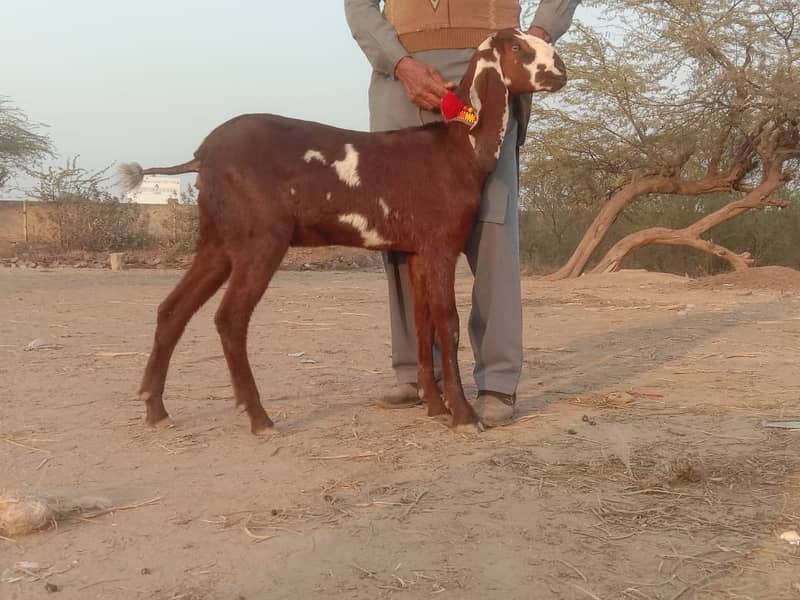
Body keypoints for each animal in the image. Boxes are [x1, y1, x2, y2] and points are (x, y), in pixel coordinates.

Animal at [122, 29, 564, 436]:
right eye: (519, 49)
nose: (561, 70)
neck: (459, 147)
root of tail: (202, 156)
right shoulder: (441, 246)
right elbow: (448, 324)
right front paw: (463, 415)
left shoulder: (416, 251)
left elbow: (423, 324)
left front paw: (436, 408)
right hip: (260, 238)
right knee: (230, 319)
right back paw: (260, 419)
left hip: (218, 241)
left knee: (173, 309)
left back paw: (156, 409)